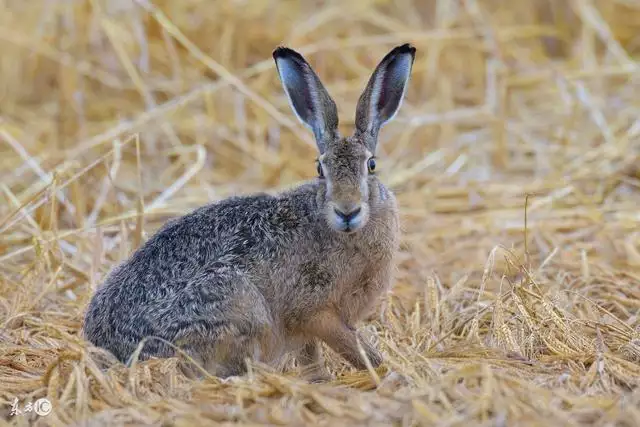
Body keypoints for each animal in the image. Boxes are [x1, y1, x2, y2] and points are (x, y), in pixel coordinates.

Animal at [82, 43, 418, 382]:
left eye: (371, 165)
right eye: (320, 169)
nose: (347, 211)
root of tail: (111, 350)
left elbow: (313, 355)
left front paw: (322, 380)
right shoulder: (314, 311)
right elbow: (354, 347)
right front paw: (389, 373)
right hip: (237, 305)